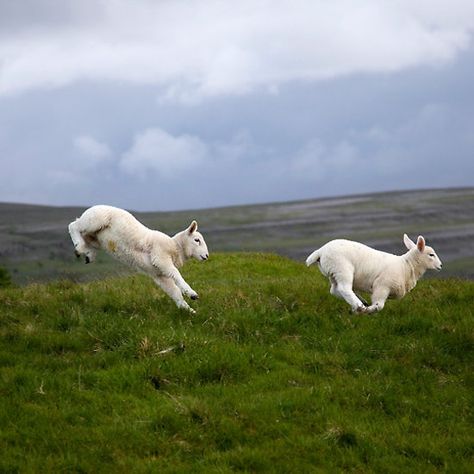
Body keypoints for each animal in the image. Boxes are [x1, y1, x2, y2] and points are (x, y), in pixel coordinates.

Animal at [67, 206, 208, 312]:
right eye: (197, 240)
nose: (206, 256)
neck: (176, 247)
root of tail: (93, 207)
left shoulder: (159, 274)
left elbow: (174, 291)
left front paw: (188, 310)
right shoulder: (161, 258)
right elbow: (176, 274)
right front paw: (191, 293)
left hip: (96, 238)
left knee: (87, 240)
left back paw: (86, 253)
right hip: (93, 220)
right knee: (73, 225)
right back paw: (78, 246)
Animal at [306, 234, 442, 314]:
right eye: (431, 255)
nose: (440, 266)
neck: (407, 266)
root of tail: (320, 251)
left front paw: (367, 308)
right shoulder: (382, 286)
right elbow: (379, 305)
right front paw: (370, 310)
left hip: (333, 273)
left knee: (335, 290)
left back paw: (360, 302)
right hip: (343, 269)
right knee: (344, 289)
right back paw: (360, 306)